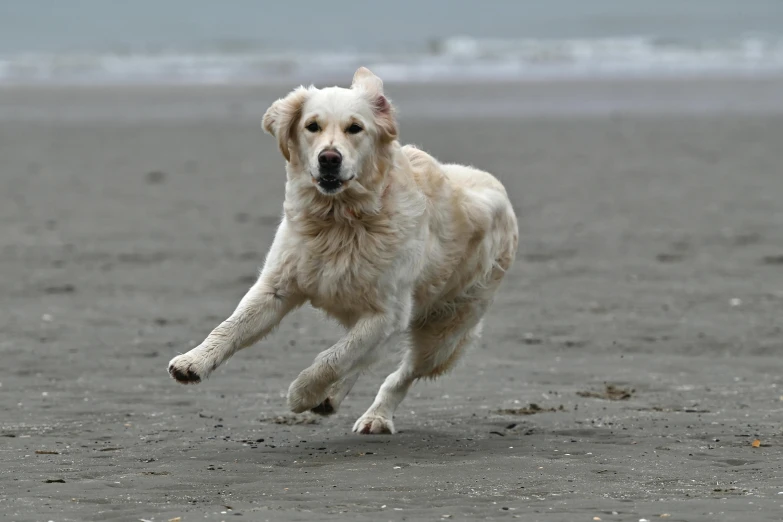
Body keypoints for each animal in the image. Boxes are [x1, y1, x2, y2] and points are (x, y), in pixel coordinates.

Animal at [168, 67, 516, 432]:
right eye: (312, 126)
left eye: (355, 128)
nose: (329, 159)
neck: (339, 221)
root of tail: (497, 186)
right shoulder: (277, 286)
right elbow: (231, 326)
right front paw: (193, 361)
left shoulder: (386, 312)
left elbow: (335, 358)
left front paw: (302, 393)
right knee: (364, 357)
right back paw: (332, 397)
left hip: (444, 333)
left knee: (400, 373)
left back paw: (375, 416)